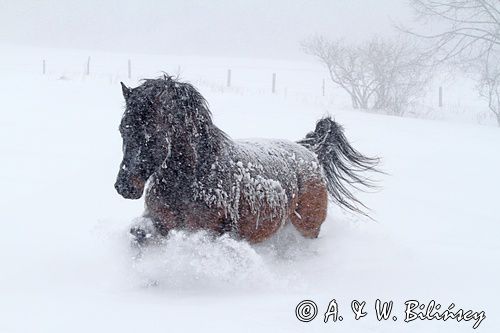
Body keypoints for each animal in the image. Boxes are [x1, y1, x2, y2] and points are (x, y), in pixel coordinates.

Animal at [115, 75, 376, 243]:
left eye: (151, 134)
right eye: (122, 129)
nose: (124, 186)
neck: (196, 176)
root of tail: (310, 153)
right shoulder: (159, 222)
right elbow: (141, 234)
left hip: (308, 228)